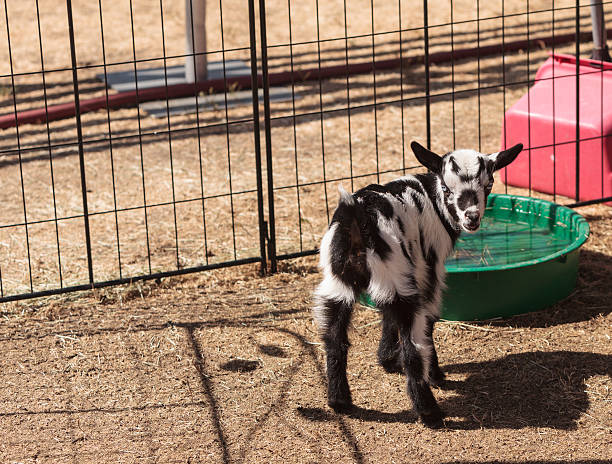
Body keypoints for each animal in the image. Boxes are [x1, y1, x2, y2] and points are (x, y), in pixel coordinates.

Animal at [316, 140, 520, 428]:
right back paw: (429, 411)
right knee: (413, 345)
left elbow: (386, 317)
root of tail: (358, 218)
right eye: (446, 188)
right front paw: (434, 374)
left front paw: (387, 360)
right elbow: (429, 322)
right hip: (398, 277)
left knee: (334, 338)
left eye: (489, 184)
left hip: (338, 285)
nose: (471, 217)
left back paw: (339, 400)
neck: (432, 199)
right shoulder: (428, 271)